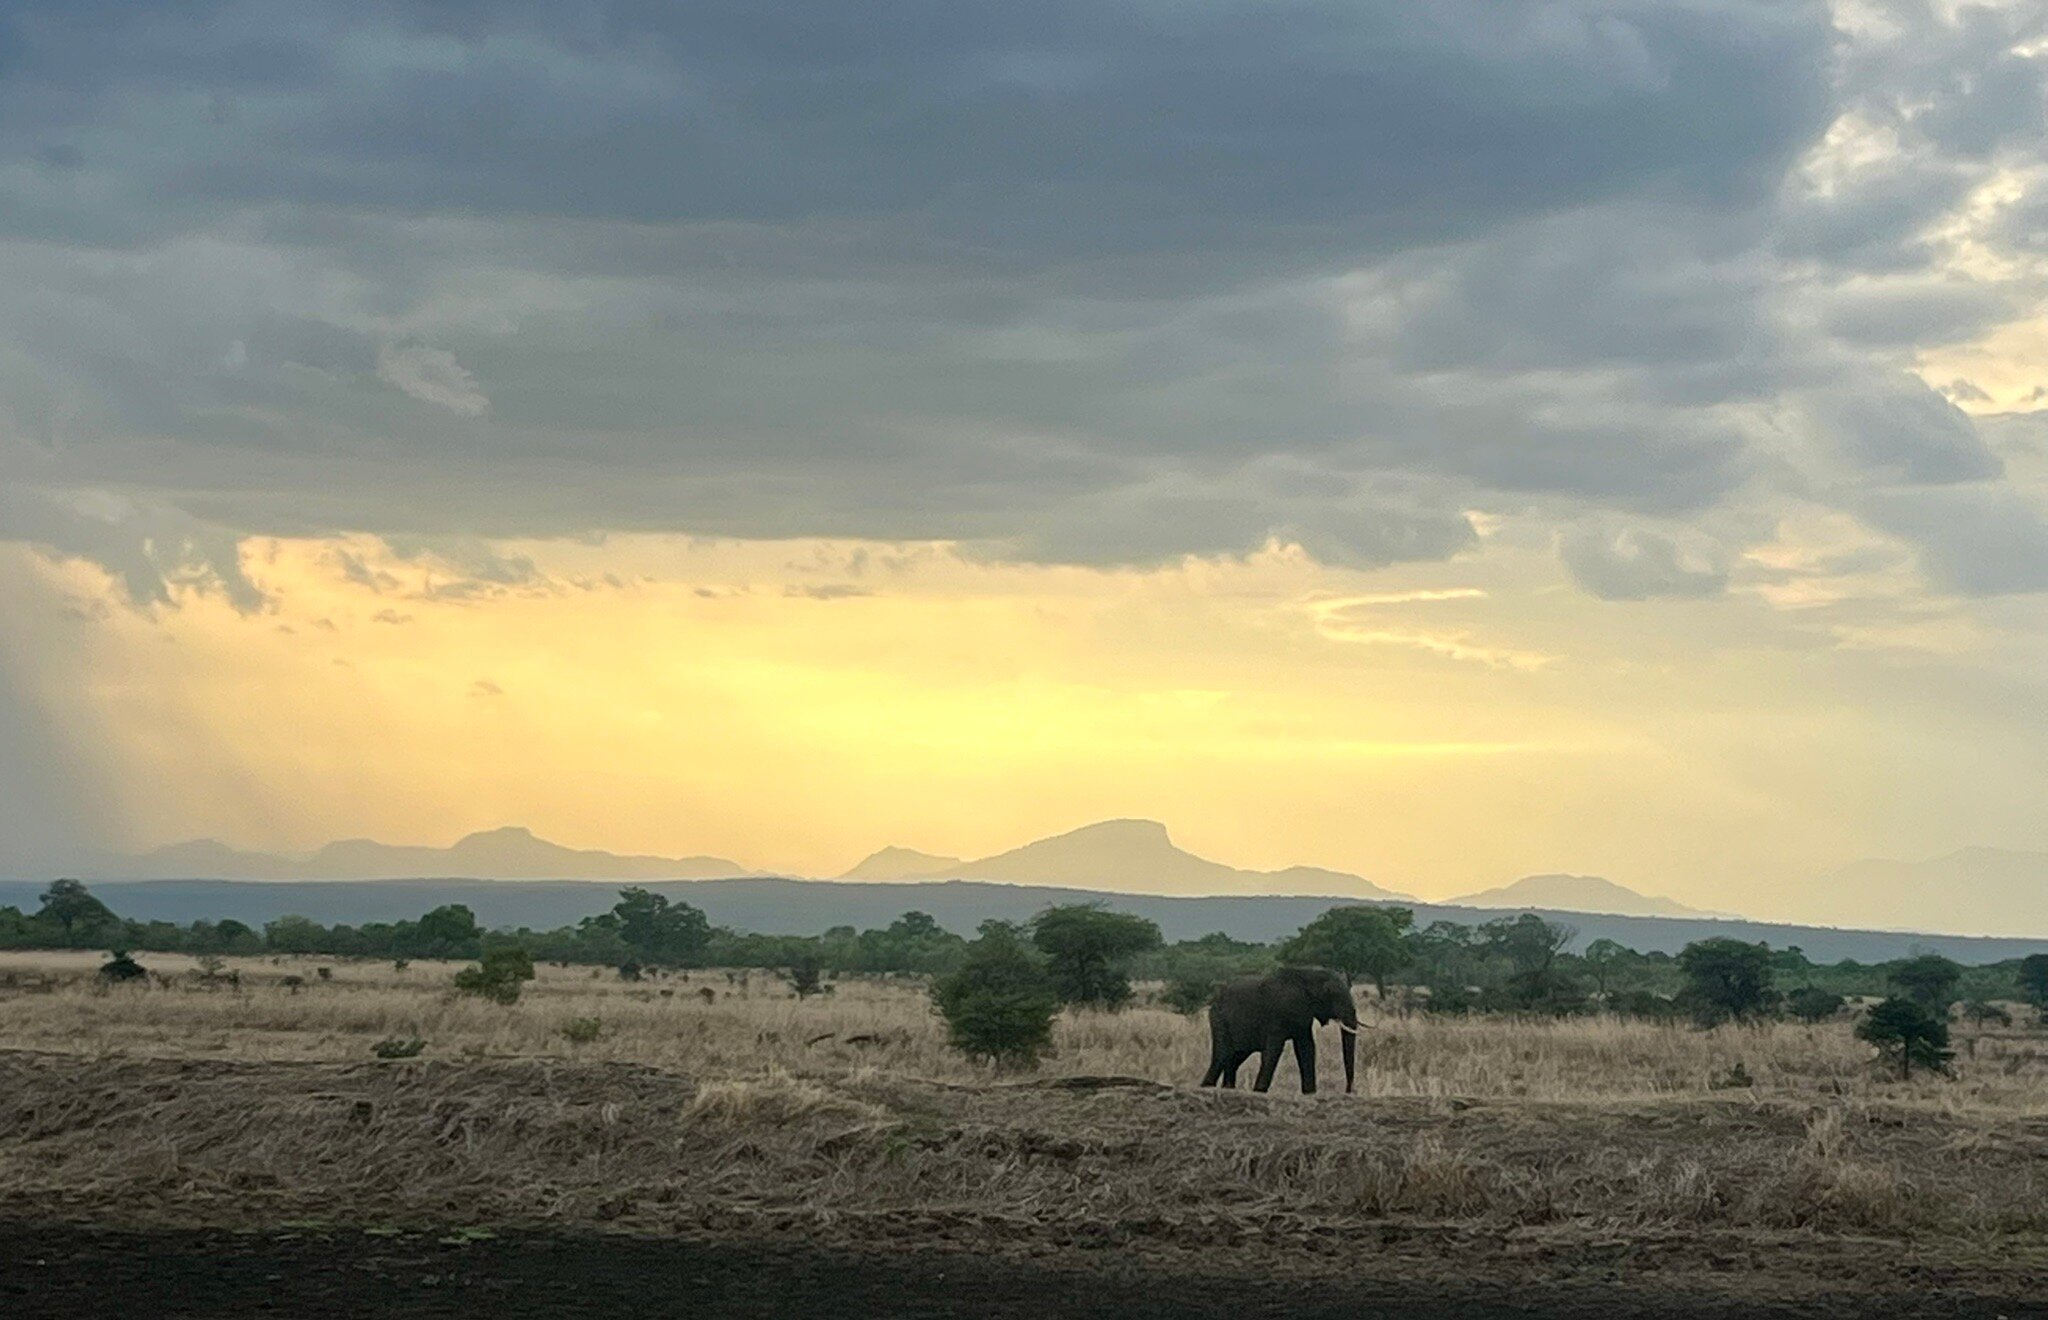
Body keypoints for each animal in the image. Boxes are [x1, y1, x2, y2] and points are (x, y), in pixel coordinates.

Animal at [1200, 966, 1361, 1094]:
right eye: (1331, 993)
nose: (1349, 1091)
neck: (1310, 974)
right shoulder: (1278, 1015)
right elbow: (1274, 1049)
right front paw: (1259, 1091)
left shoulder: (1304, 1017)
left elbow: (1306, 1048)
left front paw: (1310, 1093)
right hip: (1219, 1020)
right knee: (1222, 1055)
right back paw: (1207, 1087)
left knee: (1234, 1058)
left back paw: (1227, 1088)